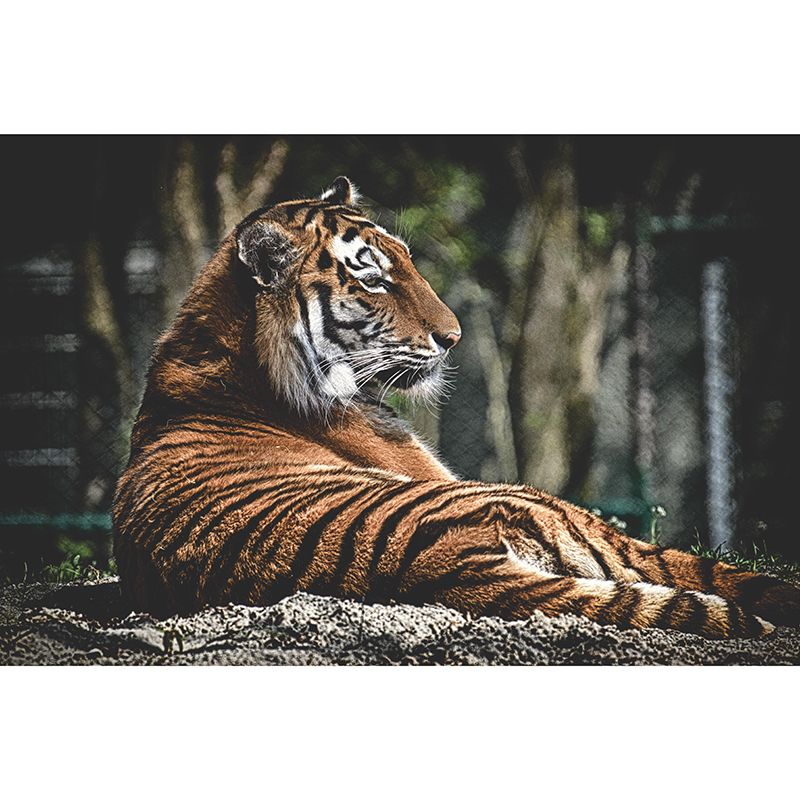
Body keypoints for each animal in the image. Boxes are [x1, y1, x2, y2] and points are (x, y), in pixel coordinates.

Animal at [113, 175, 800, 639]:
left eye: (407, 261)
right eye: (373, 277)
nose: (454, 337)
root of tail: (441, 565)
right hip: (544, 506)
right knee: (700, 568)